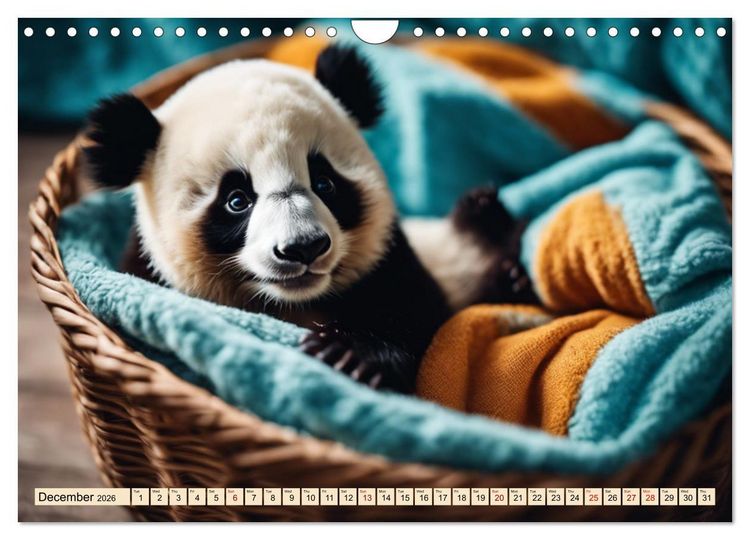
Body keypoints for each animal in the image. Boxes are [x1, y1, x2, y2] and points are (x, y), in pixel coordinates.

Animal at [84, 44, 535, 394]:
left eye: (324, 182)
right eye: (236, 200)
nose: (303, 248)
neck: (292, 304)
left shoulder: (388, 258)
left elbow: (414, 311)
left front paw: (349, 355)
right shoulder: (149, 270)